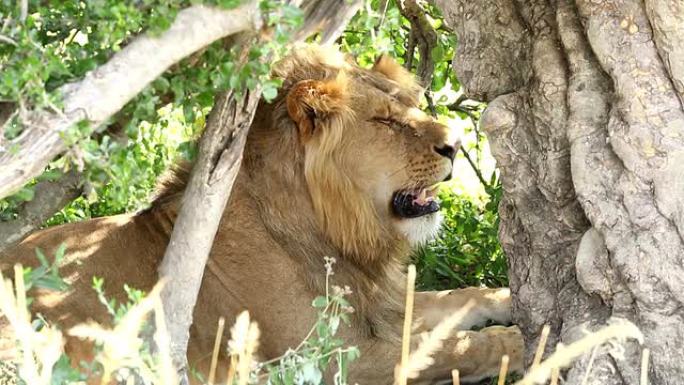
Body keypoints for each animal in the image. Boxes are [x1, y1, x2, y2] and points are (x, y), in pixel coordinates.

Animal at [1, 45, 524, 384]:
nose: (456, 143)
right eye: (384, 121)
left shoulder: (380, 308)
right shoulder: (336, 358)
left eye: (411, 107)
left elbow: (461, 298)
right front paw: (520, 342)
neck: (329, 231)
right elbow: (453, 348)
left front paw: (509, 297)